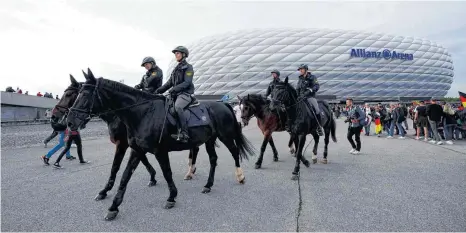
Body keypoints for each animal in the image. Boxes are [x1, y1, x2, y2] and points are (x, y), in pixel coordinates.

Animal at [66, 68, 255, 220]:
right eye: (76, 94)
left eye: (83, 95)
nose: (69, 122)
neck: (142, 113)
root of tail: (224, 105)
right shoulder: (135, 150)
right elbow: (124, 175)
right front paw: (113, 206)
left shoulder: (158, 150)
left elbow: (167, 173)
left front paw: (171, 197)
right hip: (209, 140)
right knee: (213, 159)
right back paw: (208, 185)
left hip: (225, 136)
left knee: (235, 152)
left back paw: (240, 177)